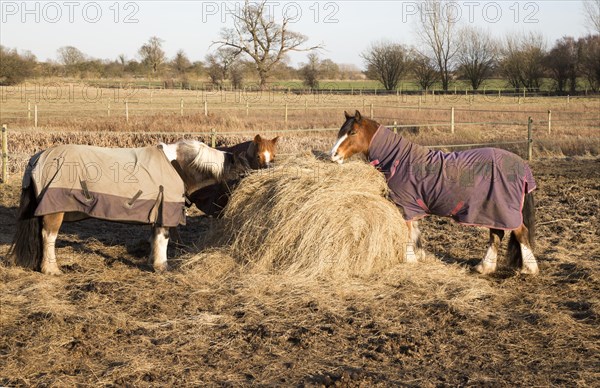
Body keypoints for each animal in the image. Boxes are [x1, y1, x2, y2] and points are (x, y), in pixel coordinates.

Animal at [9, 139, 239, 272]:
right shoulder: (165, 211)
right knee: (48, 236)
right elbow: (163, 238)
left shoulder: (157, 211)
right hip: (55, 211)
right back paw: (51, 269)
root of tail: (37, 158)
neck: (177, 166)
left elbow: (155, 238)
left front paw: (153, 262)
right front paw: (162, 266)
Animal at [330, 111, 540, 276]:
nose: (333, 156)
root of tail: (521, 165)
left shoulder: (405, 206)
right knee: (497, 234)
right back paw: (484, 267)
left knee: (520, 233)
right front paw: (418, 255)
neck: (400, 161)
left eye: (352, 132)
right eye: (340, 131)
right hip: (491, 211)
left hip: (502, 211)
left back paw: (529, 269)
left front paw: (410, 259)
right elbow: (415, 232)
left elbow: (408, 233)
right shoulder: (411, 207)